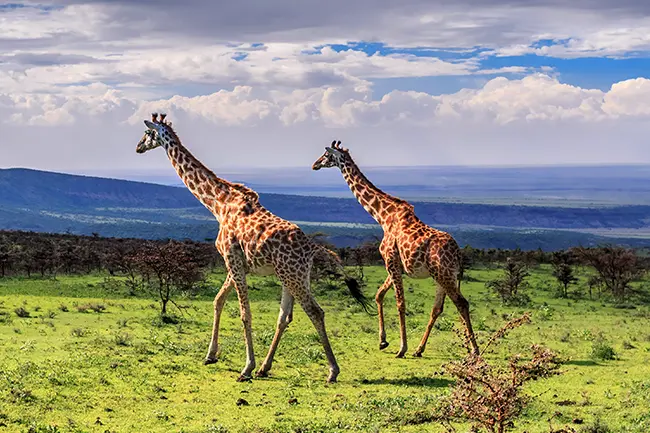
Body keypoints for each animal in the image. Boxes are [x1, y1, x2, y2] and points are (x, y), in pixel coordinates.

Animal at [135, 115, 370, 382]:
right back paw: (265, 368)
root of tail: (311, 248)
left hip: (293, 276)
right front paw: (211, 355)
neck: (218, 204)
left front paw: (245, 368)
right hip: (291, 276)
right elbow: (218, 301)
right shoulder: (237, 263)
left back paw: (331, 370)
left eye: (147, 132)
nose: (138, 147)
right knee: (285, 317)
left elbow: (244, 313)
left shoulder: (232, 258)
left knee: (315, 311)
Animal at [312, 140, 478, 356]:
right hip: (442, 276)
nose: (314, 165)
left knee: (461, 303)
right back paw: (419, 349)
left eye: (326, 155)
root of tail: (458, 254)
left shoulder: (390, 260)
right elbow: (379, 295)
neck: (383, 216)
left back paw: (474, 350)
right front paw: (383, 341)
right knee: (438, 308)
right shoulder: (397, 266)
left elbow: (400, 302)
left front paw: (401, 348)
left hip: (444, 275)